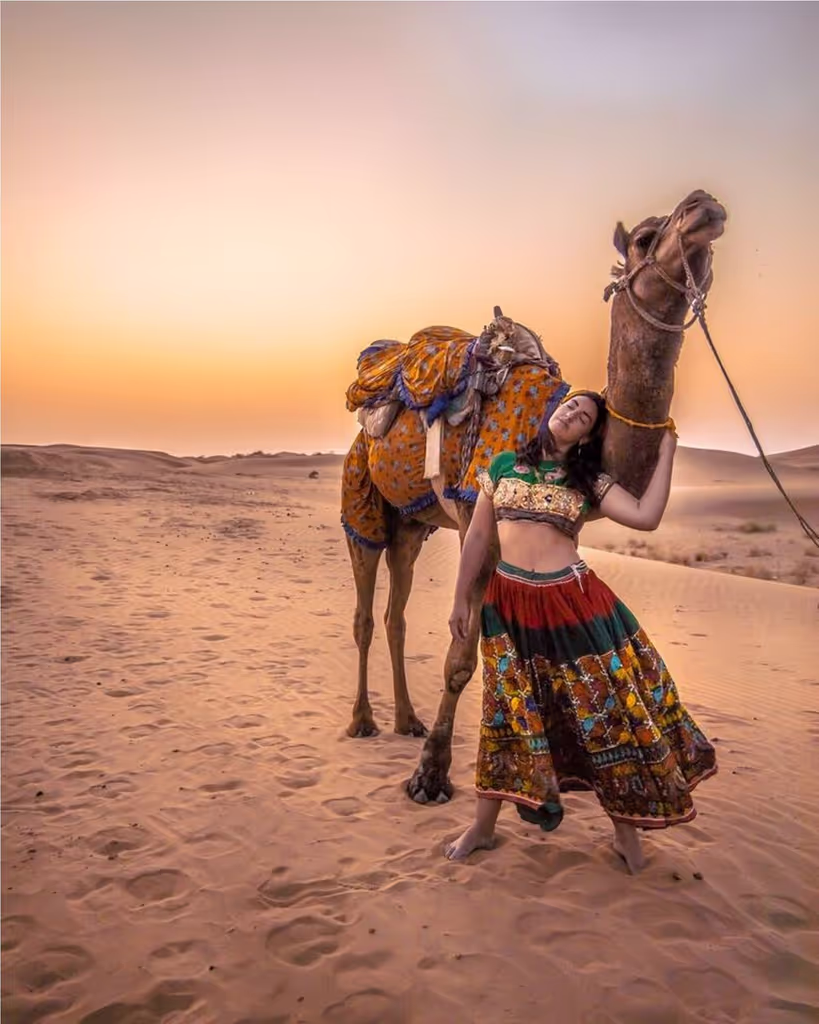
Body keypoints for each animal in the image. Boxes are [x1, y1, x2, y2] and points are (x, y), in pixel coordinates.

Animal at [340, 190, 727, 805]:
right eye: (644, 238)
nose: (703, 205)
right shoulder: (476, 513)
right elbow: (459, 657)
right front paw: (429, 777)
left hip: (412, 524)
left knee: (395, 613)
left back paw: (406, 720)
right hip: (362, 495)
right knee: (362, 612)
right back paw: (362, 722)